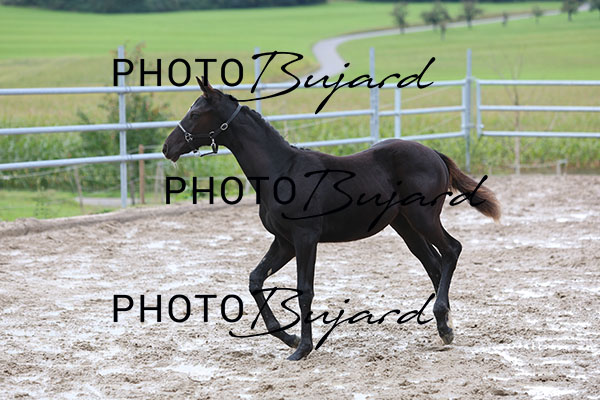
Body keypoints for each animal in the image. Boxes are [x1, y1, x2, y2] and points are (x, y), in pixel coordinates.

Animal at [162, 77, 500, 361]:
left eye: (195, 113)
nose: (168, 147)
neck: (280, 169)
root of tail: (433, 152)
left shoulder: (305, 238)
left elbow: (304, 291)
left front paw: (303, 349)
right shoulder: (284, 241)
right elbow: (256, 280)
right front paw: (289, 338)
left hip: (423, 217)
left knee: (451, 250)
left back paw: (444, 321)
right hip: (405, 225)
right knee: (435, 264)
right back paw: (445, 327)